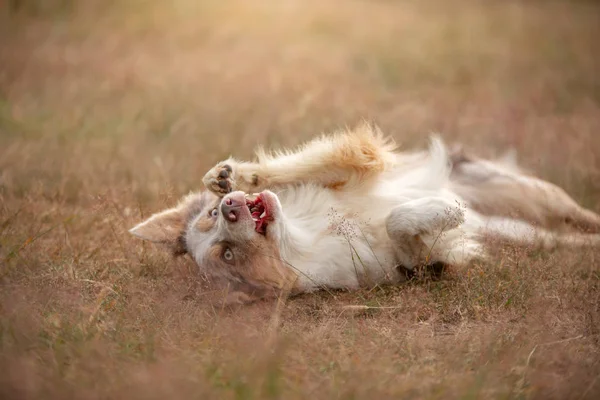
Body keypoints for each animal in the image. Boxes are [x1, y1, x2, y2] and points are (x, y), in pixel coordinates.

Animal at [130, 125, 600, 304]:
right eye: (227, 256)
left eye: (211, 214)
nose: (228, 207)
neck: (309, 235)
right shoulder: (423, 265)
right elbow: (404, 225)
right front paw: (444, 209)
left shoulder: (352, 166)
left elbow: (302, 166)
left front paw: (231, 174)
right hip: (522, 232)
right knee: (561, 239)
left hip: (535, 196)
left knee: (578, 214)